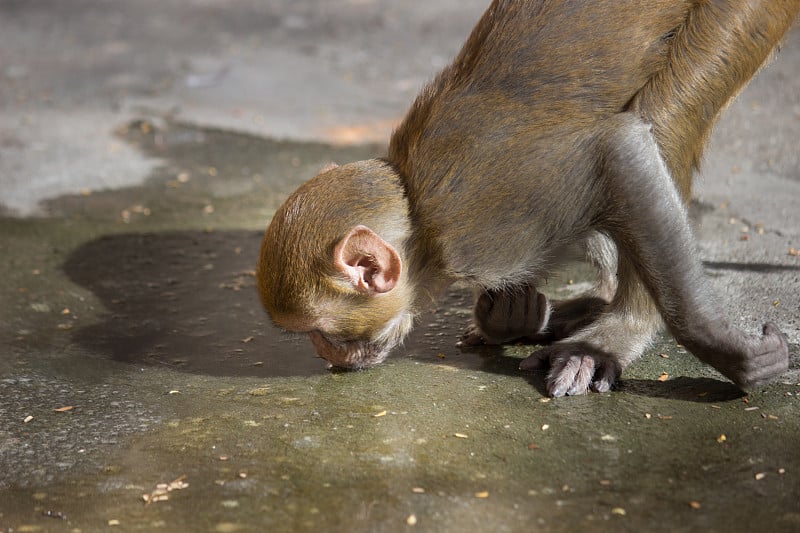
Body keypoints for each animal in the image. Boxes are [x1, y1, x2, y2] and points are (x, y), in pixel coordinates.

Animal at [258, 1, 800, 394]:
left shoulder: (483, 226)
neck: (421, 229)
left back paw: (613, 332)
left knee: (661, 117)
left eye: (321, 331)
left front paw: (715, 343)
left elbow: (618, 150)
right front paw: (514, 317)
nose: (323, 354)